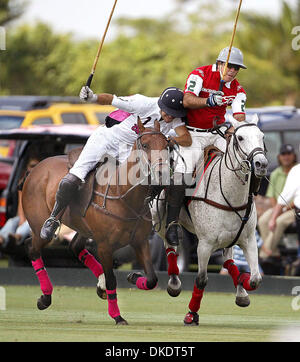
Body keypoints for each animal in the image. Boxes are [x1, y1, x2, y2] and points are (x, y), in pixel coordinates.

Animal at [21, 119, 169, 326]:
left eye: (166, 145)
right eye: (145, 145)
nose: (162, 172)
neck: (124, 195)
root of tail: (34, 169)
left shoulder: (140, 242)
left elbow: (152, 278)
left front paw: (133, 277)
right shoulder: (105, 247)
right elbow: (112, 279)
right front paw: (117, 316)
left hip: (84, 229)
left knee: (74, 246)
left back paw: (99, 285)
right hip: (40, 226)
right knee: (32, 248)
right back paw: (45, 297)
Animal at [151, 114, 268, 324]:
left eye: (261, 136)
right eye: (240, 138)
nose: (261, 164)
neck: (230, 195)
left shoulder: (248, 240)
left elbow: (255, 278)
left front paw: (243, 284)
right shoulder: (205, 244)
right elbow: (201, 279)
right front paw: (191, 314)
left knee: (228, 260)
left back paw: (241, 292)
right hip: (158, 219)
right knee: (169, 245)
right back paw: (174, 282)